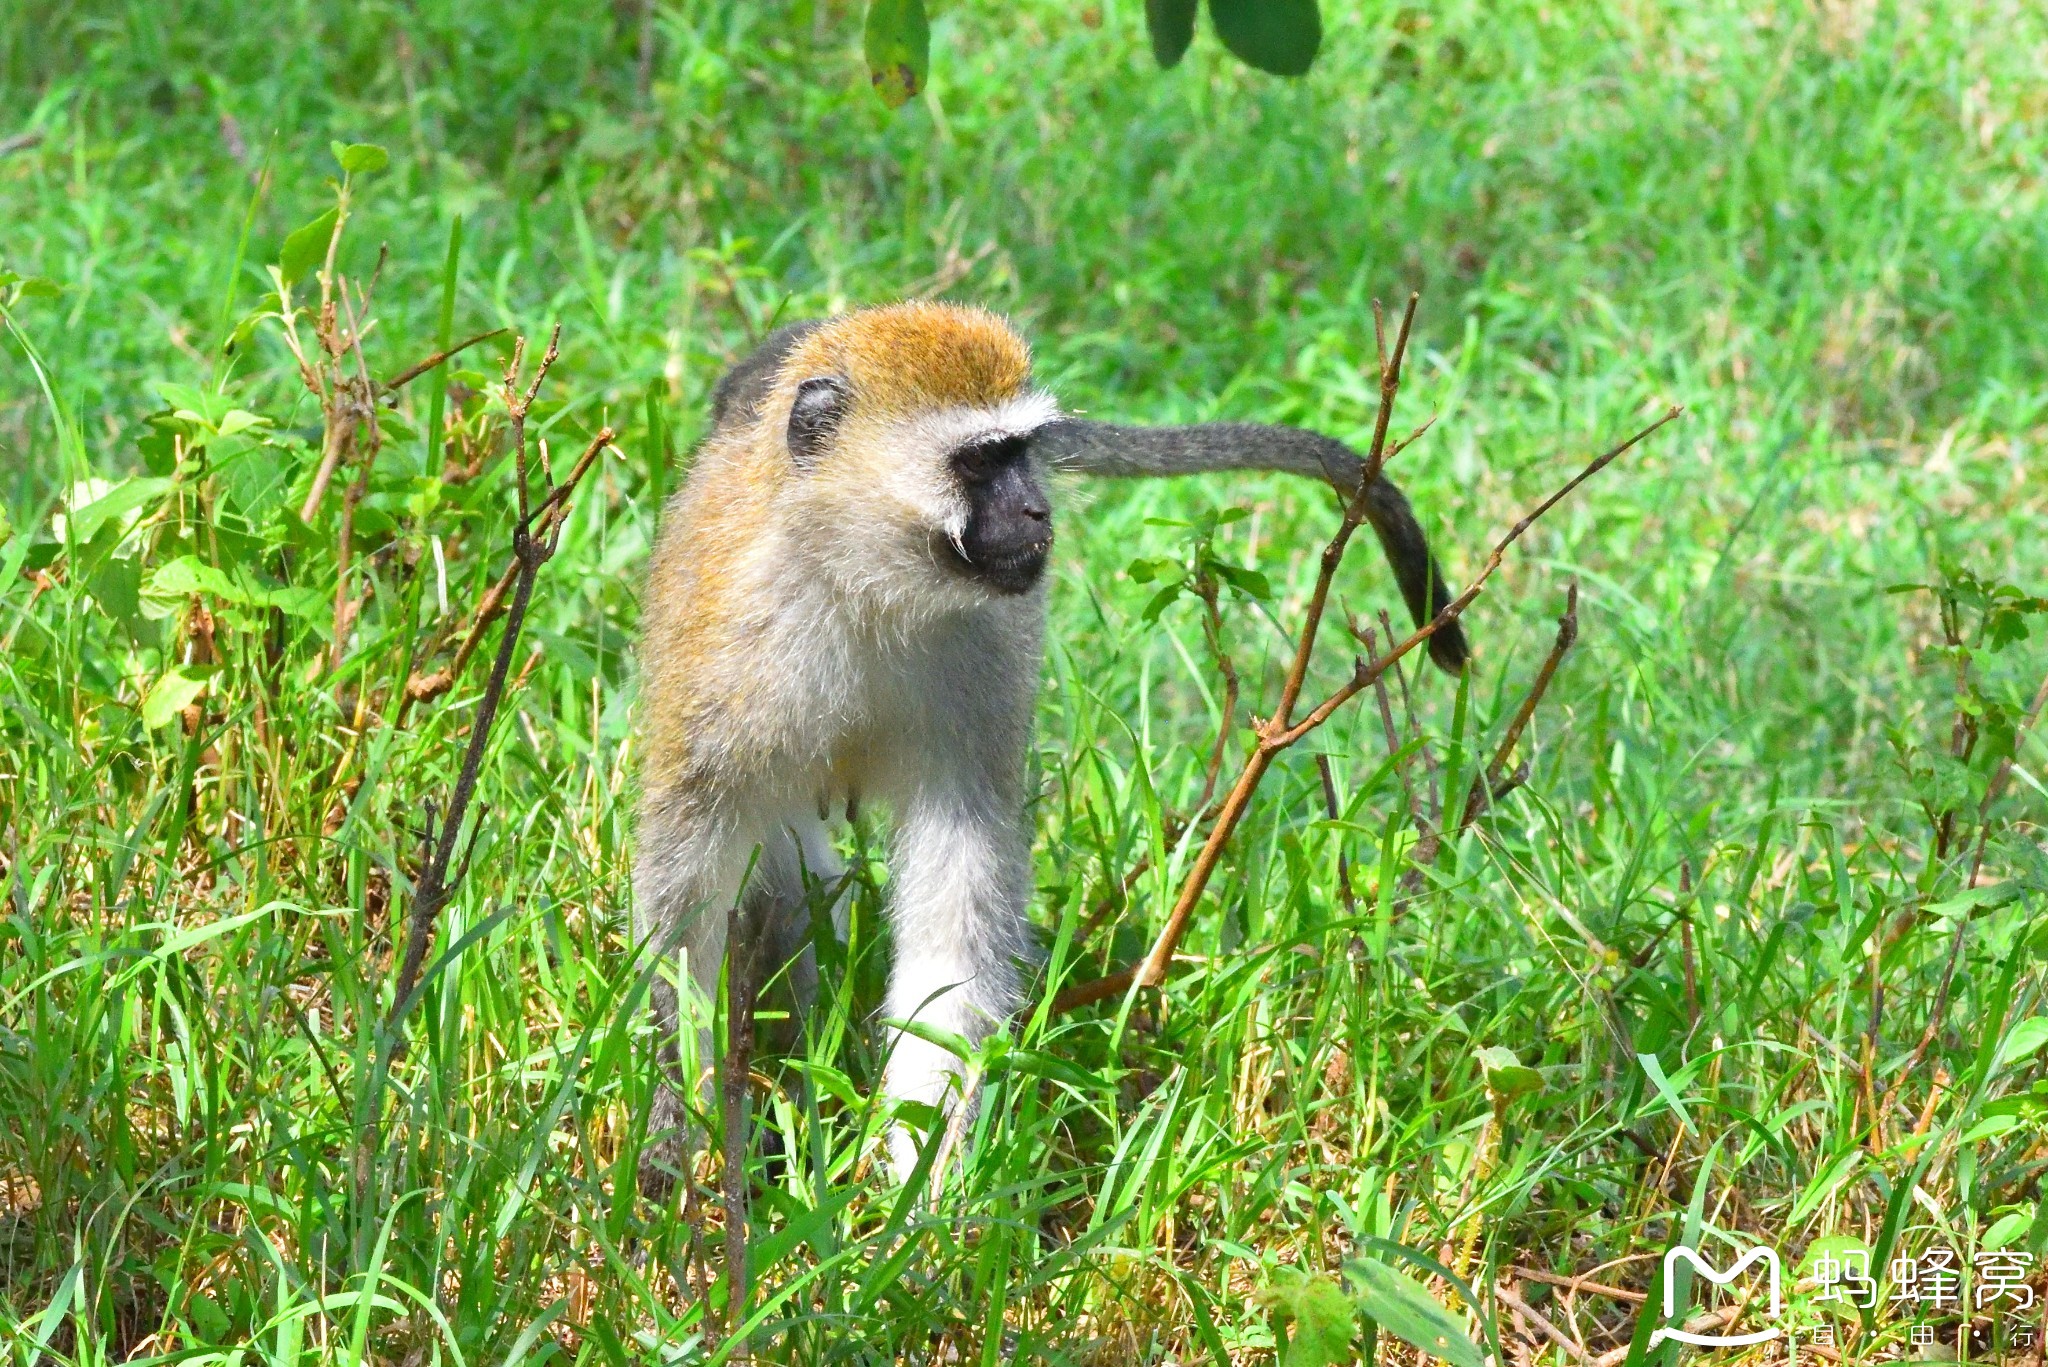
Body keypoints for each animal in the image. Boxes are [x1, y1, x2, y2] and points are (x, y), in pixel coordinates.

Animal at [630, 305, 1466, 1180]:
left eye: (1021, 452)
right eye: (978, 461)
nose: (1038, 514)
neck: (865, 583)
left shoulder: (982, 660)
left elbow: (955, 909)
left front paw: (924, 1177)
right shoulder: (727, 655)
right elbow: (689, 889)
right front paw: (678, 1127)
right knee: (792, 885)